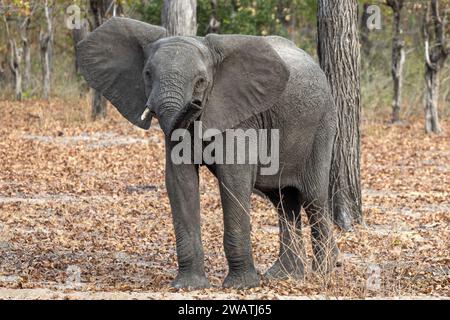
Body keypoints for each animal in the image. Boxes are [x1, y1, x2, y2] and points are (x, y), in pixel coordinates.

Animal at [76, 16, 338, 288]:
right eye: (147, 74)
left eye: (201, 81)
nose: (194, 103)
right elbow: (179, 179)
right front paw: (188, 285)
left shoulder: (240, 115)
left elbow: (234, 178)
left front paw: (241, 285)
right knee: (283, 200)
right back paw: (284, 275)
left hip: (323, 125)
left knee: (314, 198)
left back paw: (323, 273)